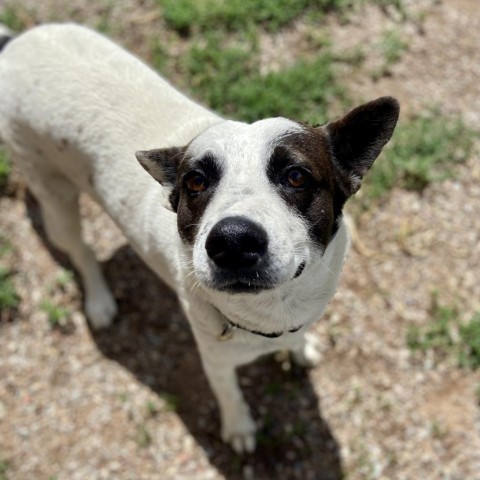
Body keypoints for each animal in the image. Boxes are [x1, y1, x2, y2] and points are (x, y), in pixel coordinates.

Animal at [0, 25, 400, 454]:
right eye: (195, 181)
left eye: (296, 176)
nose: (233, 241)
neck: (271, 314)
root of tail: (16, 40)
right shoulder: (215, 360)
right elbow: (229, 395)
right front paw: (239, 427)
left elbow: (298, 340)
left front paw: (300, 350)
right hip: (52, 195)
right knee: (81, 250)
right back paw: (100, 301)